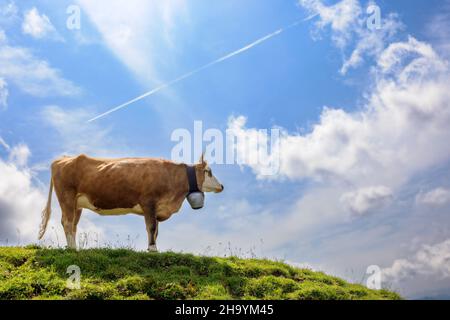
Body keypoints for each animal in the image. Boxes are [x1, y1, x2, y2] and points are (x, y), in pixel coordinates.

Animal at [37, 154, 224, 251]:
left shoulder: (156, 208)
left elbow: (155, 231)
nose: (221, 186)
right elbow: (152, 228)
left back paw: (74, 247)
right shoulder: (149, 202)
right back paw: (72, 249)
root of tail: (63, 158)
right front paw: (153, 250)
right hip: (66, 197)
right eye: (209, 171)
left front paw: (152, 248)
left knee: (72, 225)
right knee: (67, 222)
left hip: (77, 204)